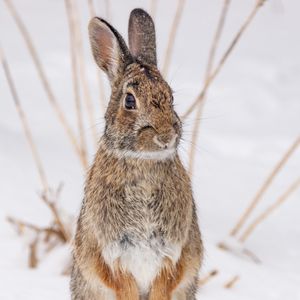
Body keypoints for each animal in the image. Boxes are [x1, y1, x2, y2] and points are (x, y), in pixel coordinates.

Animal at [70, 7, 203, 300]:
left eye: (171, 97)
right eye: (129, 101)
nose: (166, 136)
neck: (143, 163)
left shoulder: (173, 254)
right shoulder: (111, 255)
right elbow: (122, 283)